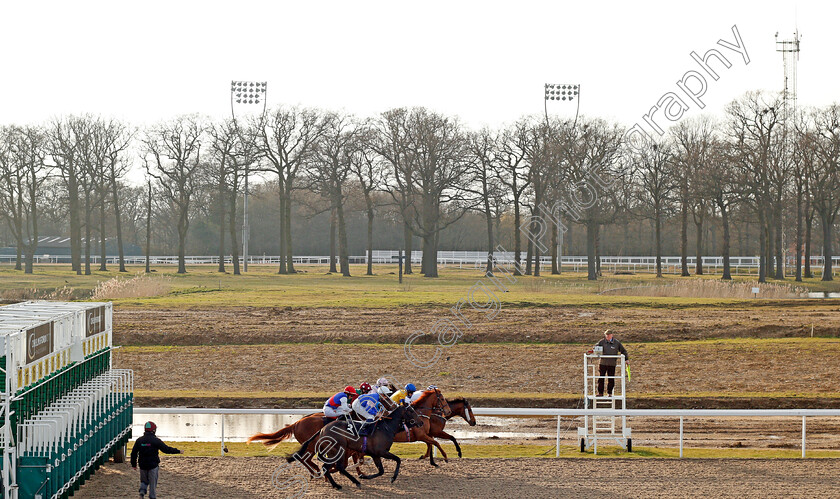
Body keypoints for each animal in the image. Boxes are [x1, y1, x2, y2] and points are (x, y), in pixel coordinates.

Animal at [288, 406, 424, 488]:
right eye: (412, 411)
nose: (421, 422)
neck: (386, 428)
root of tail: (322, 429)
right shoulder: (382, 452)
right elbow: (398, 460)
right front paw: (393, 478)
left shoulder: (375, 454)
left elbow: (381, 471)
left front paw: (364, 476)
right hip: (337, 450)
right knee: (331, 466)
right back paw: (340, 484)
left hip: (336, 451)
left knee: (333, 467)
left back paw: (345, 482)